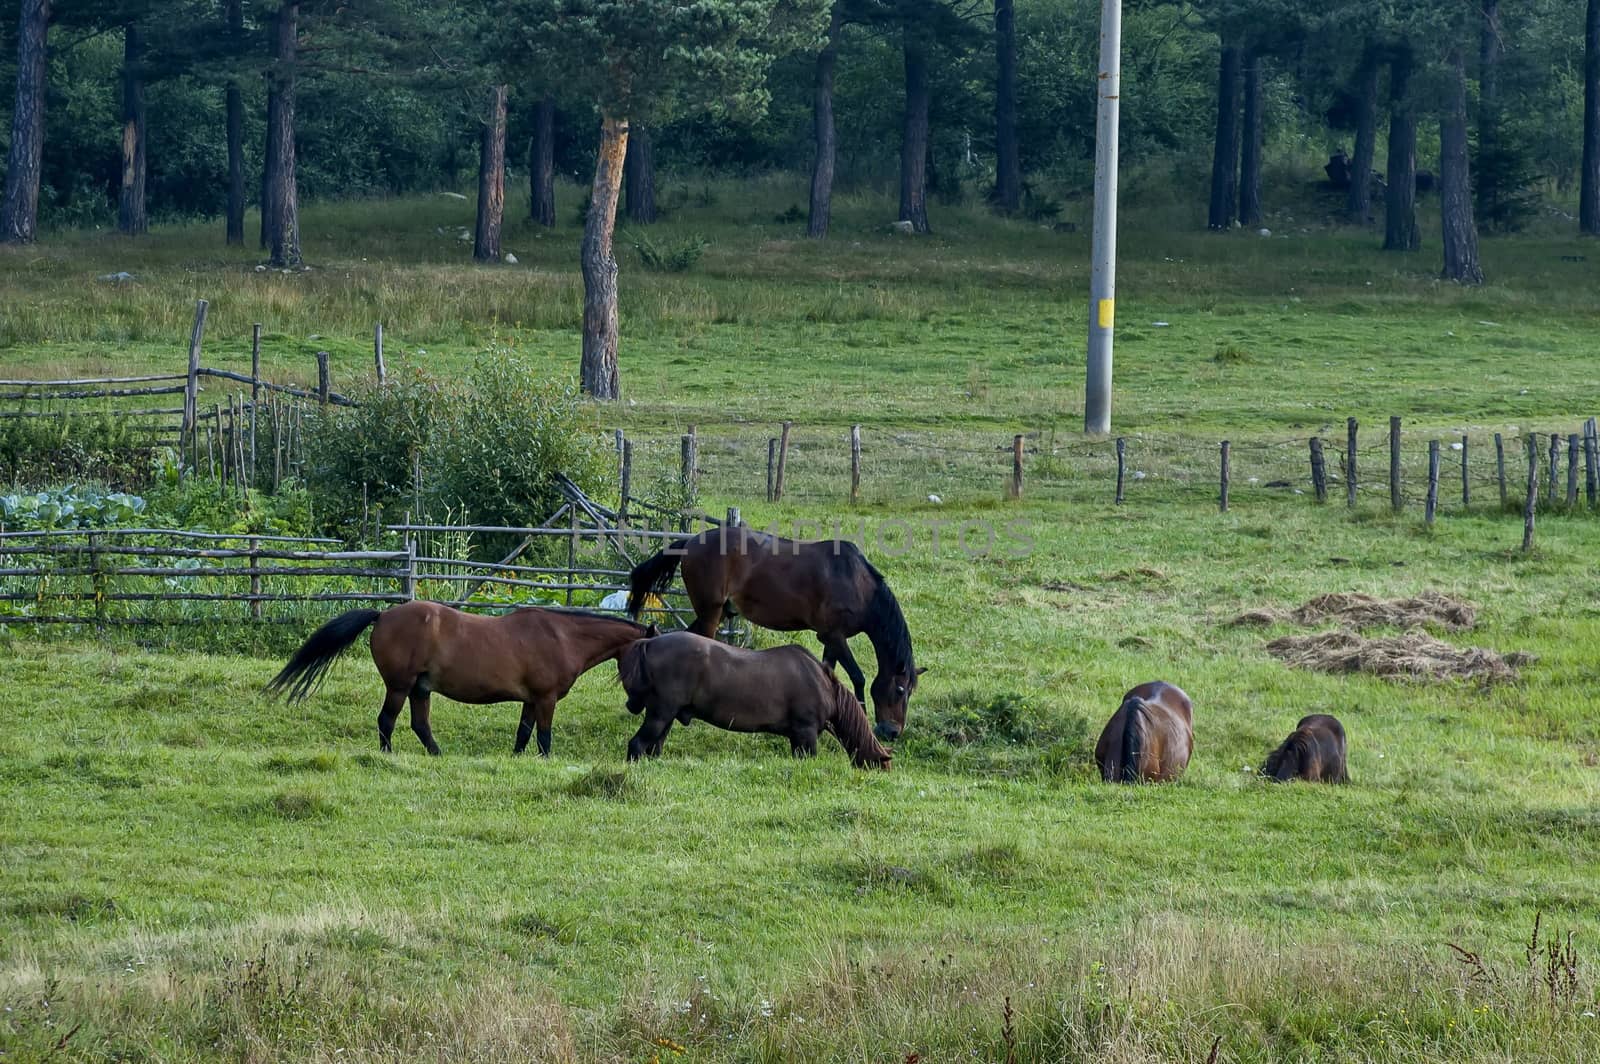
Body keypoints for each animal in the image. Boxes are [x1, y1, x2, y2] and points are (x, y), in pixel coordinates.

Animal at [265, 598, 652, 755]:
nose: (636, 706)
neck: (562, 636)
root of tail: (384, 615)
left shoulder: (531, 701)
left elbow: (523, 735)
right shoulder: (545, 699)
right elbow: (544, 738)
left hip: (420, 689)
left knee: (420, 725)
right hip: (400, 687)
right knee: (386, 721)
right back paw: (388, 755)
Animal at [614, 627, 896, 768]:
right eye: (882, 765)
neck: (824, 685)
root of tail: (650, 643)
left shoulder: (797, 738)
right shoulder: (806, 733)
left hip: (667, 716)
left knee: (654, 747)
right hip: (660, 714)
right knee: (636, 745)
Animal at [627, 528, 928, 739]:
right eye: (900, 690)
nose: (892, 732)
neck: (856, 583)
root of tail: (690, 543)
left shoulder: (830, 637)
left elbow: (829, 669)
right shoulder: (834, 635)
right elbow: (857, 676)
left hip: (717, 611)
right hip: (710, 611)